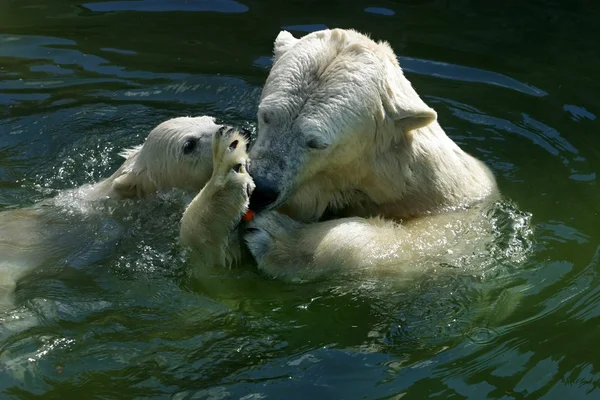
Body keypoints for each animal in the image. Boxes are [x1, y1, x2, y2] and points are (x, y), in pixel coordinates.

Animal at [241, 28, 500, 280]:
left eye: (316, 143)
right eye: (267, 116)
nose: (261, 188)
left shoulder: (454, 213)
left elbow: (418, 241)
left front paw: (277, 237)